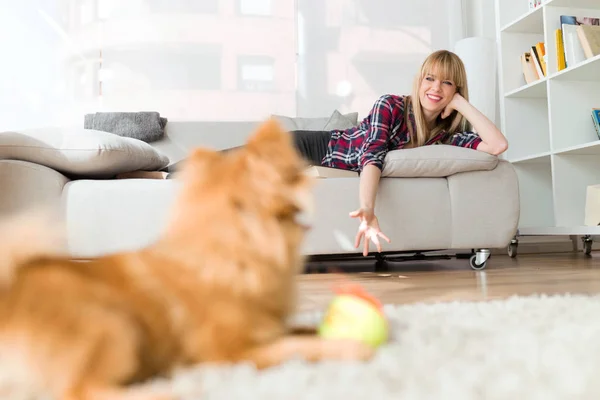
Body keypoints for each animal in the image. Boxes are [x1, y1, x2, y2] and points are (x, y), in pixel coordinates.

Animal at [0, 120, 372, 400]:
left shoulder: (270, 327)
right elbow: (298, 348)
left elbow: (306, 330)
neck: (231, 248)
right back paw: (175, 390)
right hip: (111, 324)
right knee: (80, 391)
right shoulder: (233, 352)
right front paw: (351, 347)